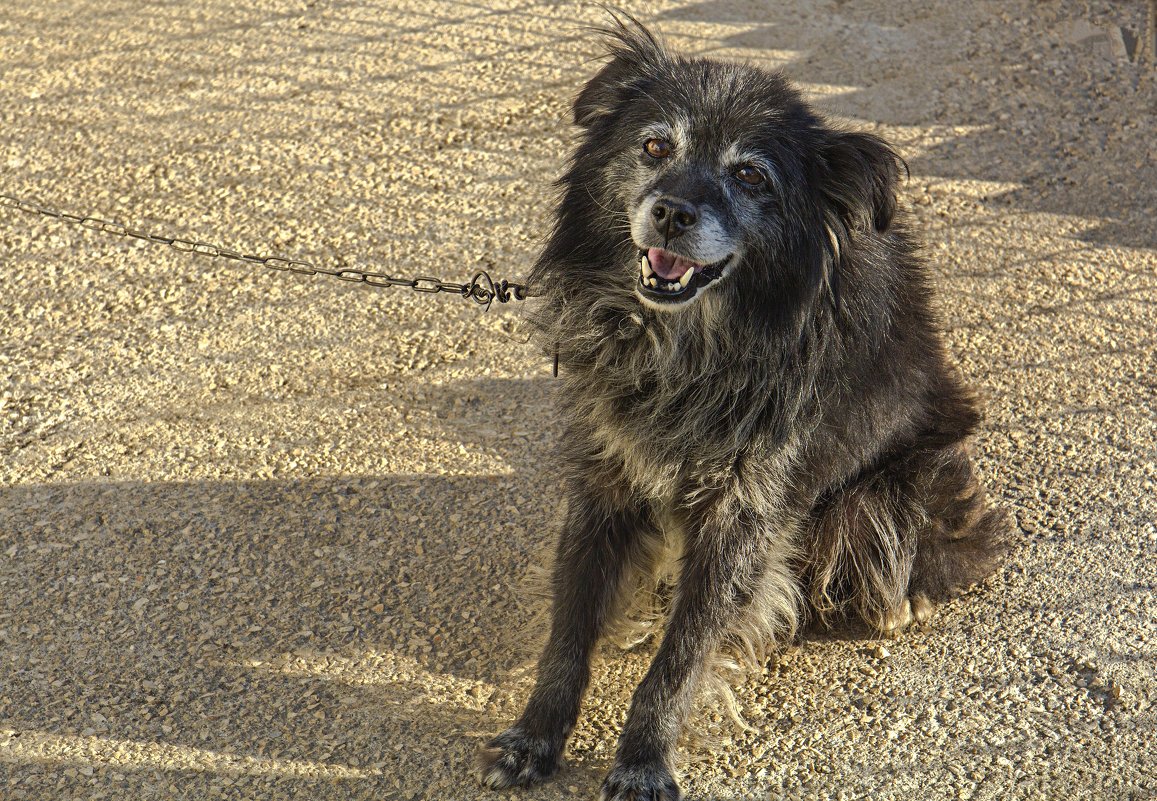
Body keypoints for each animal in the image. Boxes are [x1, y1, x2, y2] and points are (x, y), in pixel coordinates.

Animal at [474, 14, 1008, 801]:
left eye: (750, 175)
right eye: (654, 146)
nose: (670, 213)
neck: (689, 349)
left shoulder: (743, 512)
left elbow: (682, 656)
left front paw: (643, 762)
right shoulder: (606, 482)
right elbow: (568, 630)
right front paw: (533, 737)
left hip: (878, 496)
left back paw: (903, 597)